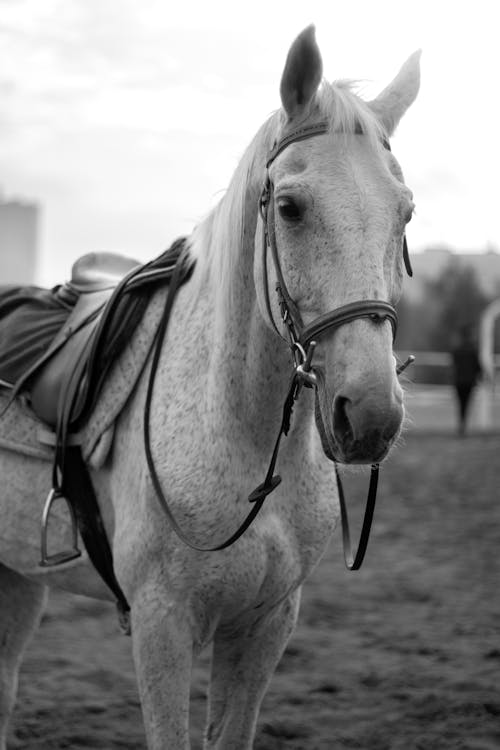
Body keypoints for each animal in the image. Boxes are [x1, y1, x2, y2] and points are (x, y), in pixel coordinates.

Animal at [0, 25, 420, 750]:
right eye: (290, 207)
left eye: (406, 214)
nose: (369, 416)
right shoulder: (162, 626)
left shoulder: (266, 625)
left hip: (20, 575)